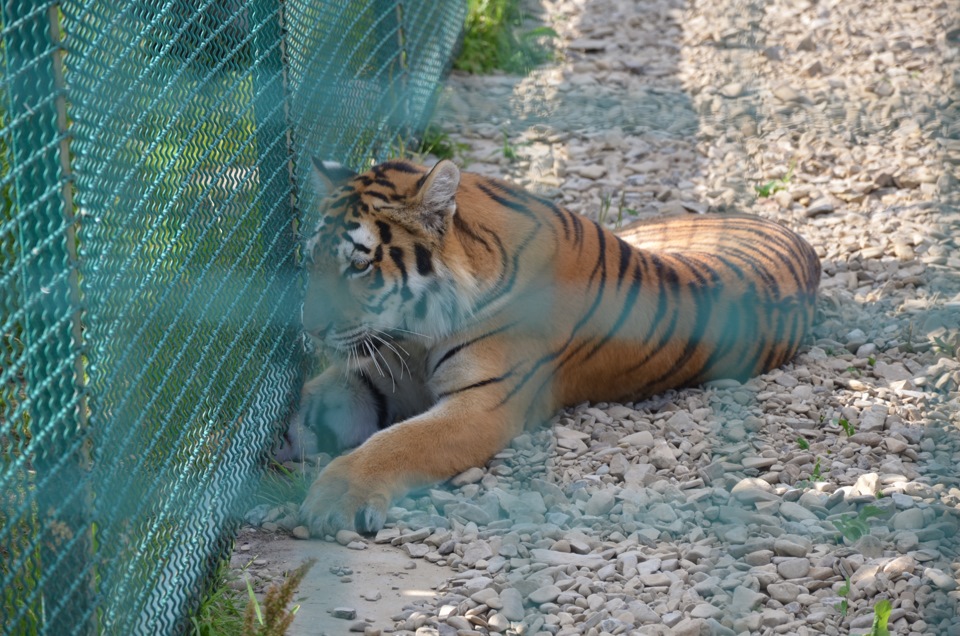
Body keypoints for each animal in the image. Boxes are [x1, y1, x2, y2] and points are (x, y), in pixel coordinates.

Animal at [284, 157, 816, 536]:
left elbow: (396, 444)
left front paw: (333, 498)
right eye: (312, 262)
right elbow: (305, 408)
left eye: (359, 266)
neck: (415, 334)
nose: (309, 328)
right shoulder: (374, 376)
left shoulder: (484, 403)